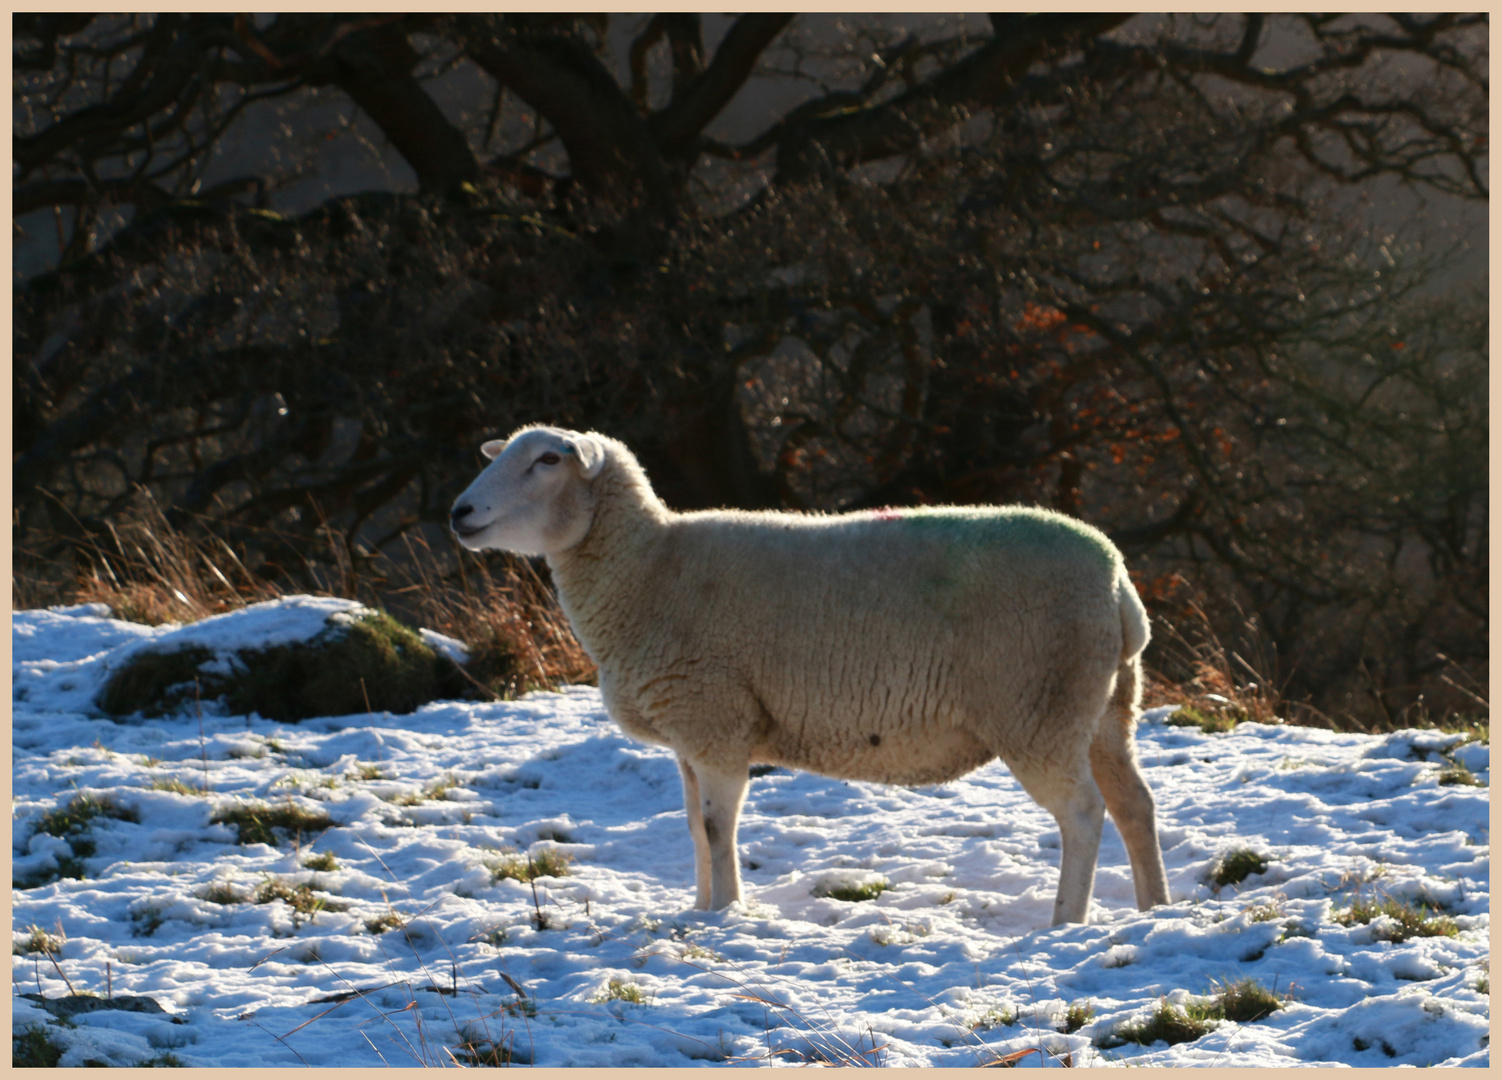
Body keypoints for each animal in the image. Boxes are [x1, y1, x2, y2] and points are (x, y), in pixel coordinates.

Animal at [444, 426, 1171, 925]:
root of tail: (1117, 584)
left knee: (1083, 814)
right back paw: (1153, 909)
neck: (646, 568)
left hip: (1038, 706)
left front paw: (725, 915)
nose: (460, 513)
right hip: (1103, 709)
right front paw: (701, 911)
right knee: (1135, 806)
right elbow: (694, 829)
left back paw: (1064, 922)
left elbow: (717, 829)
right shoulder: (689, 734)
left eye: (548, 460)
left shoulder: (716, 721)